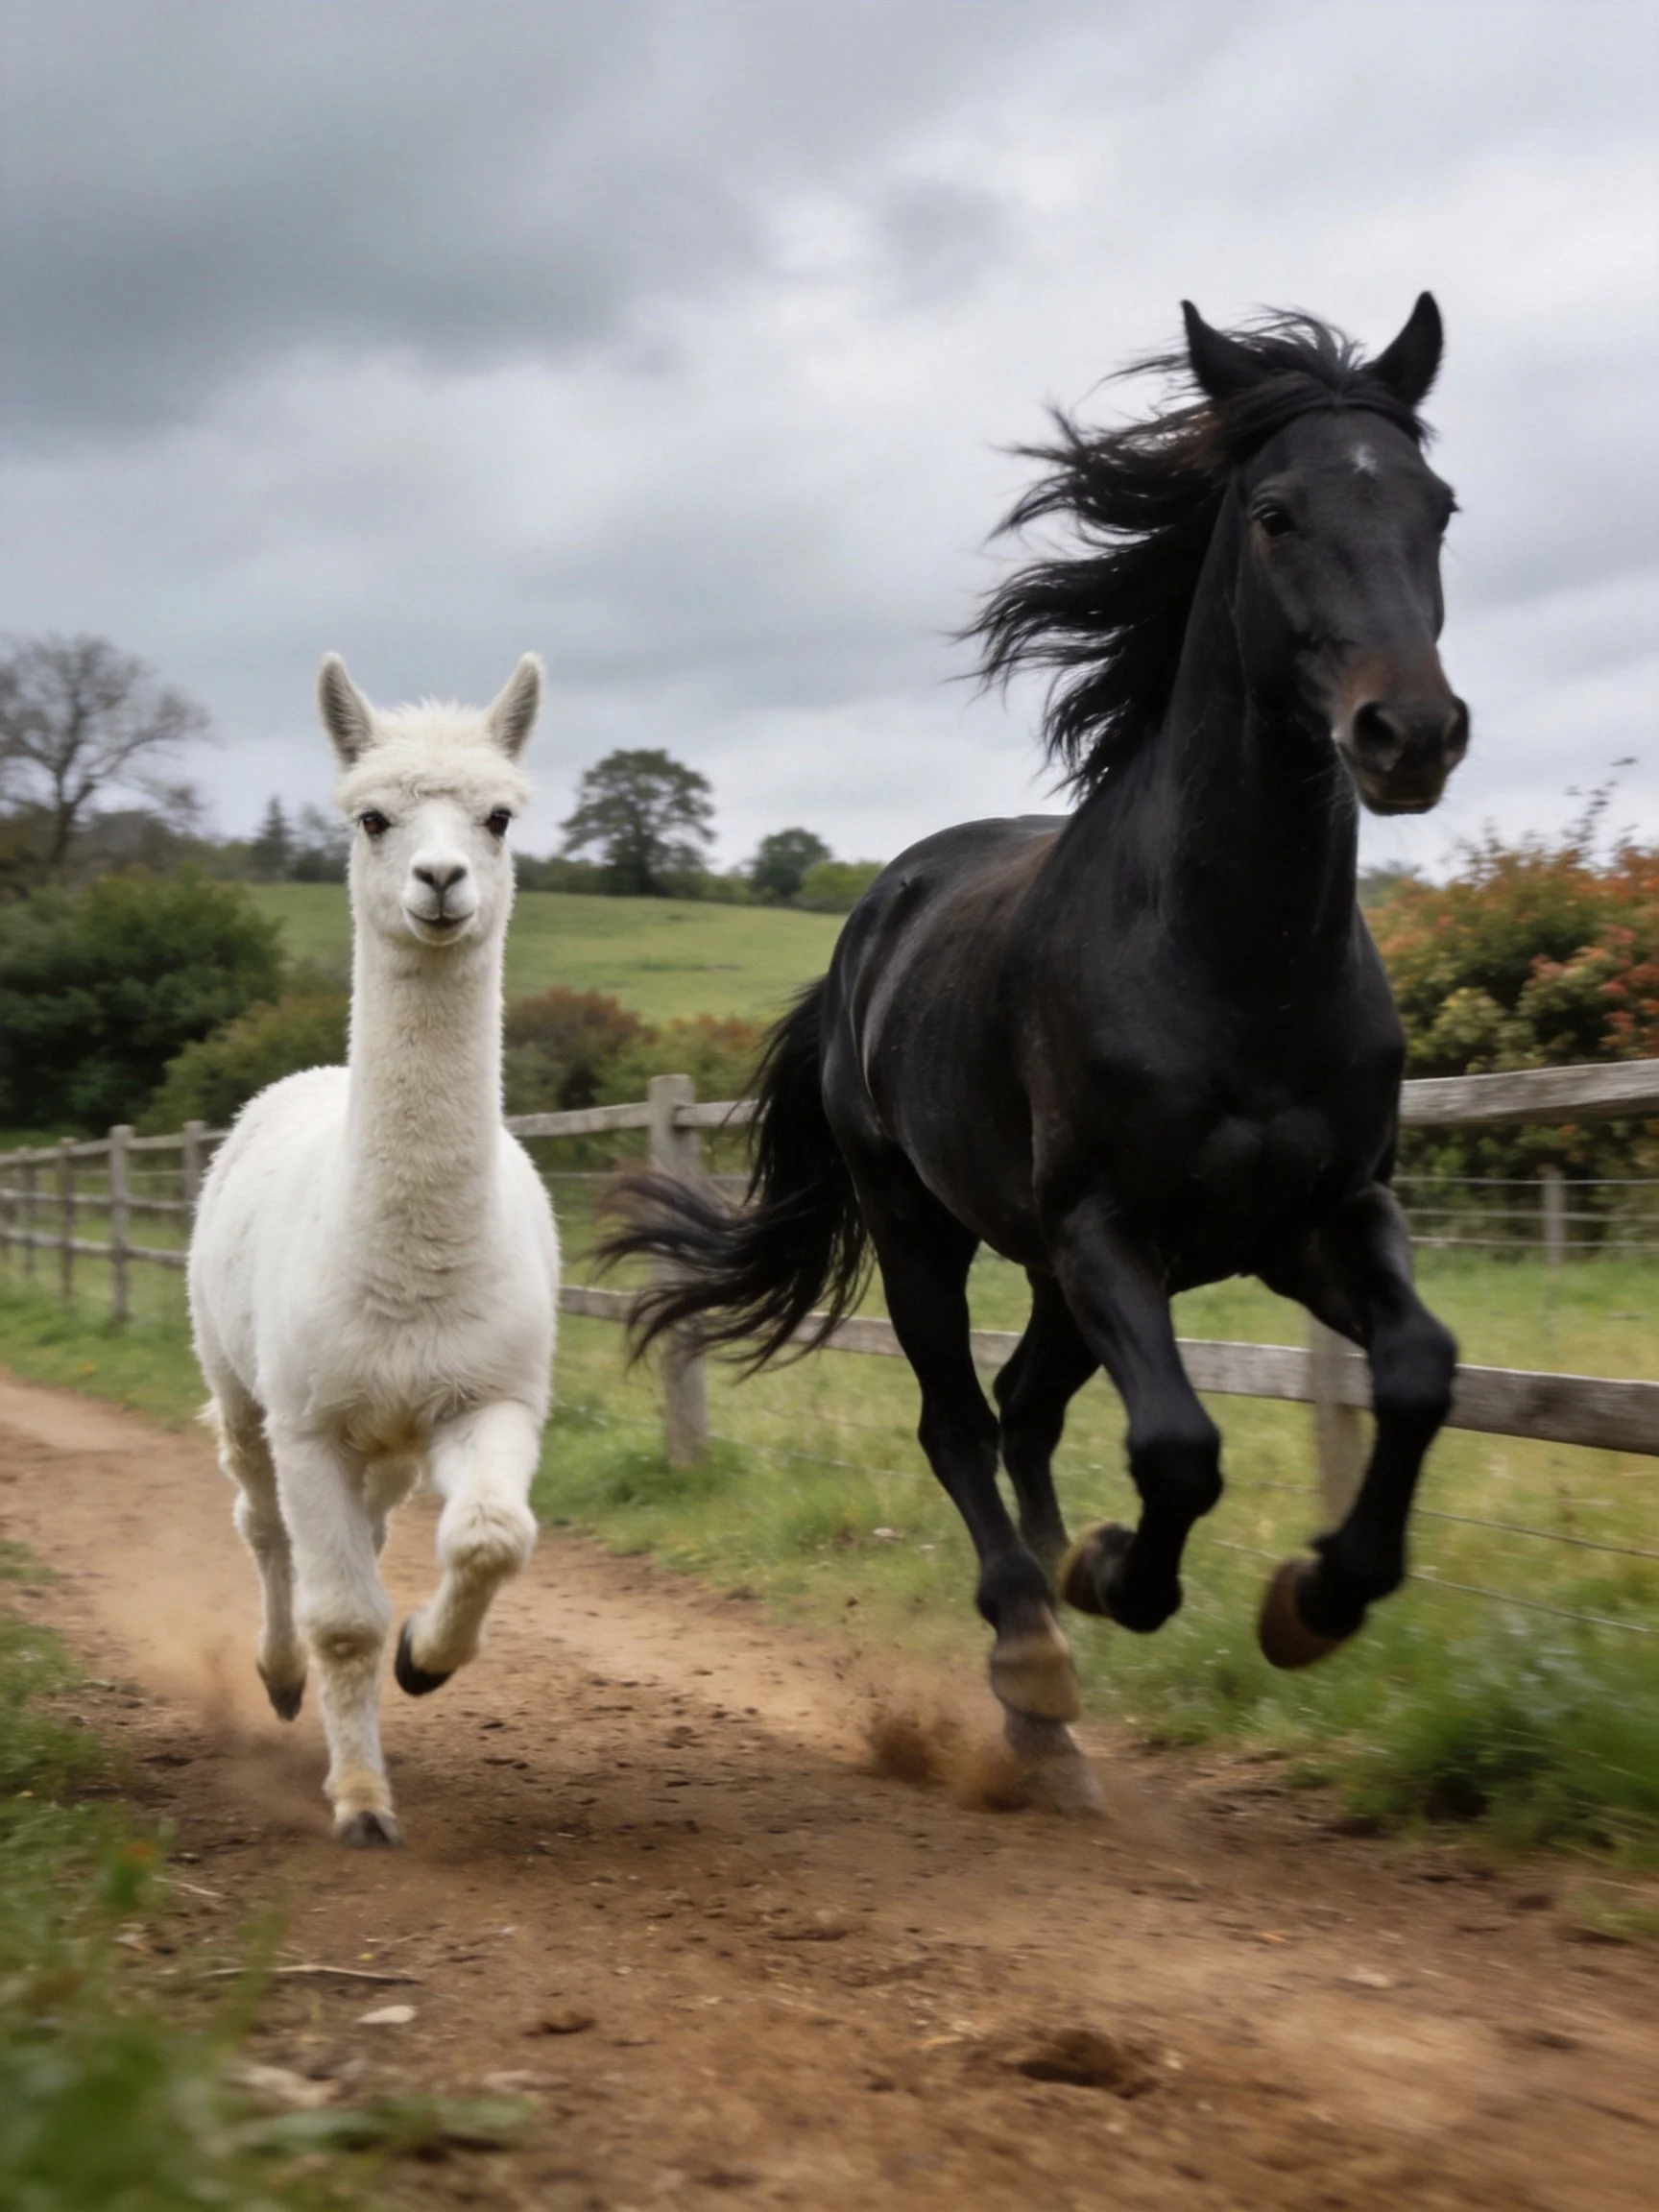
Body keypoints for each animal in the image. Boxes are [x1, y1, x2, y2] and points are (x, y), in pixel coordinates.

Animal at [605, 297, 1468, 1803]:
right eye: (1278, 514)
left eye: (1440, 508)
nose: (1408, 734)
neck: (1236, 967)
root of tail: (876, 918)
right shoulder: (1107, 1227)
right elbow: (1178, 1448)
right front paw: (1119, 1577)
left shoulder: (1319, 1218)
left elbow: (1418, 1372)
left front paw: (1314, 1599)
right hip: (929, 1229)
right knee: (961, 1419)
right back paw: (1034, 1658)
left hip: (1057, 1270)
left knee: (1022, 1408)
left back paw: (1057, 1655)